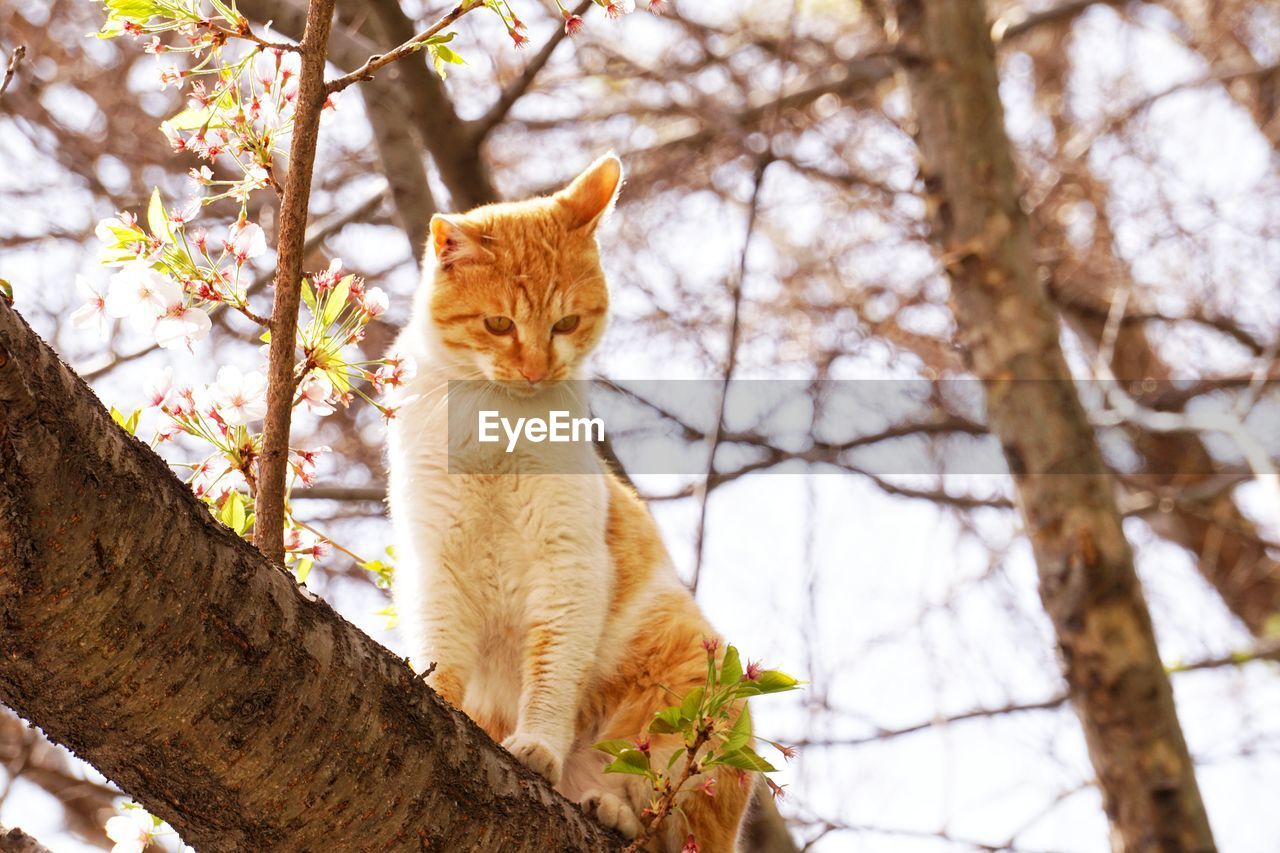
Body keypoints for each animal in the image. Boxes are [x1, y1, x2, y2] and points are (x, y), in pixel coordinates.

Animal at [384, 154, 752, 850]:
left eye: (566, 323)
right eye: (499, 324)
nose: (534, 371)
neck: (498, 424)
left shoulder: (569, 565)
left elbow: (552, 672)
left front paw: (538, 746)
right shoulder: (439, 561)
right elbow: (442, 654)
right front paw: (440, 699)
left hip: (700, 684)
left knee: (666, 818)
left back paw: (610, 806)